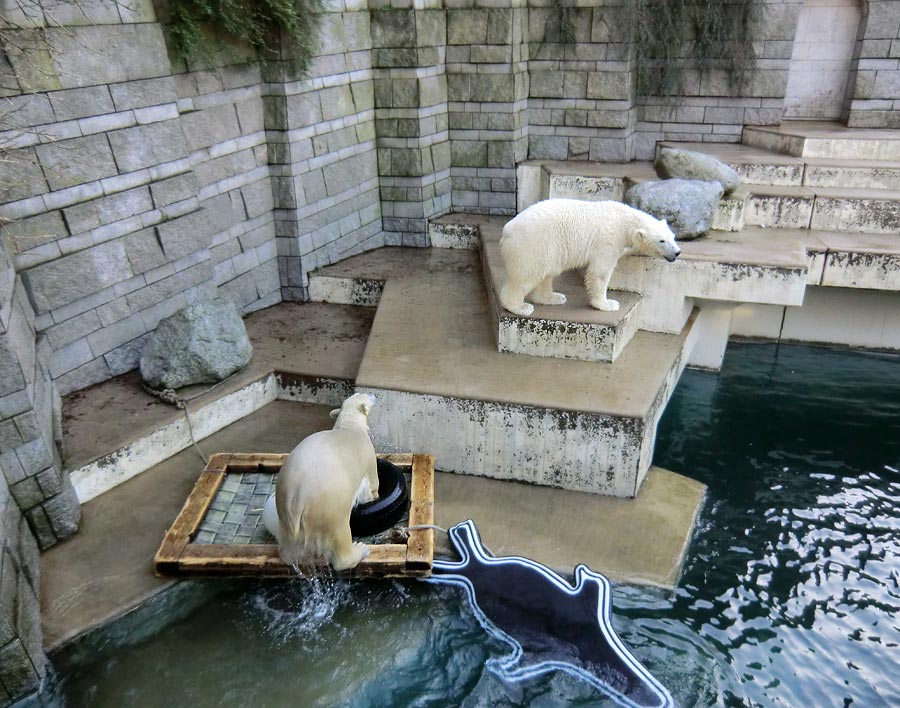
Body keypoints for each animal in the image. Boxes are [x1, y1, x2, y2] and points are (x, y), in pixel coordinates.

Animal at [270, 390, 376, 572]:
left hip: (283, 506)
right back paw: (360, 550)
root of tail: (297, 497)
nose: (374, 394)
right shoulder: (368, 455)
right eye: (365, 394)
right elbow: (371, 485)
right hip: (329, 507)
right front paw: (373, 496)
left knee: (288, 546)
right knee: (341, 535)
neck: (349, 426)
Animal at [500, 196, 684, 316]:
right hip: (532, 246)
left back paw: (553, 297)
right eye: (661, 240)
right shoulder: (608, 240)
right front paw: (608, 304)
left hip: (549, 249)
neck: (625, 221)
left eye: (673, 237)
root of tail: (506, 231)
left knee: (547, 273)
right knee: (527, 275)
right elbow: (600, 272)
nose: (677, 252)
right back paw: (520, 307)